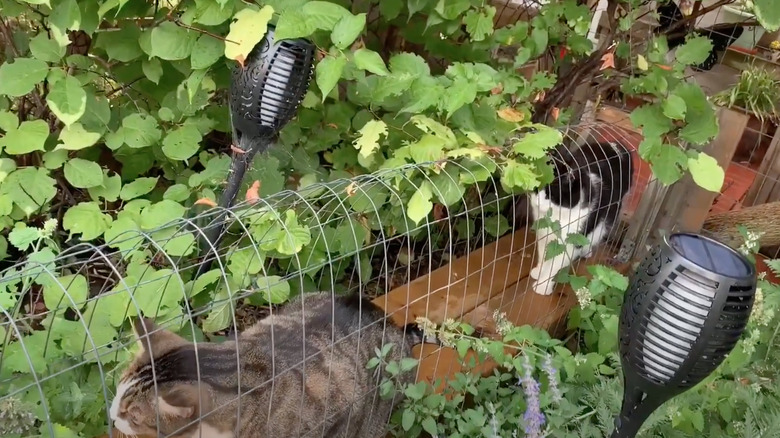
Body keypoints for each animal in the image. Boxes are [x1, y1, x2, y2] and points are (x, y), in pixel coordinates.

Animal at [528, 142, 636, 296]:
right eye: (536, 189)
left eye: (551, 195)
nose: (536, 202)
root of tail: (620, 146)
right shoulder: (543, 232)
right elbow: (544, 254)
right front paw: (539, 271)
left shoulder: (569, 241)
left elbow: (554, 265)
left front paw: (543, 286)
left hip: (609, 214)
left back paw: (586, 250)